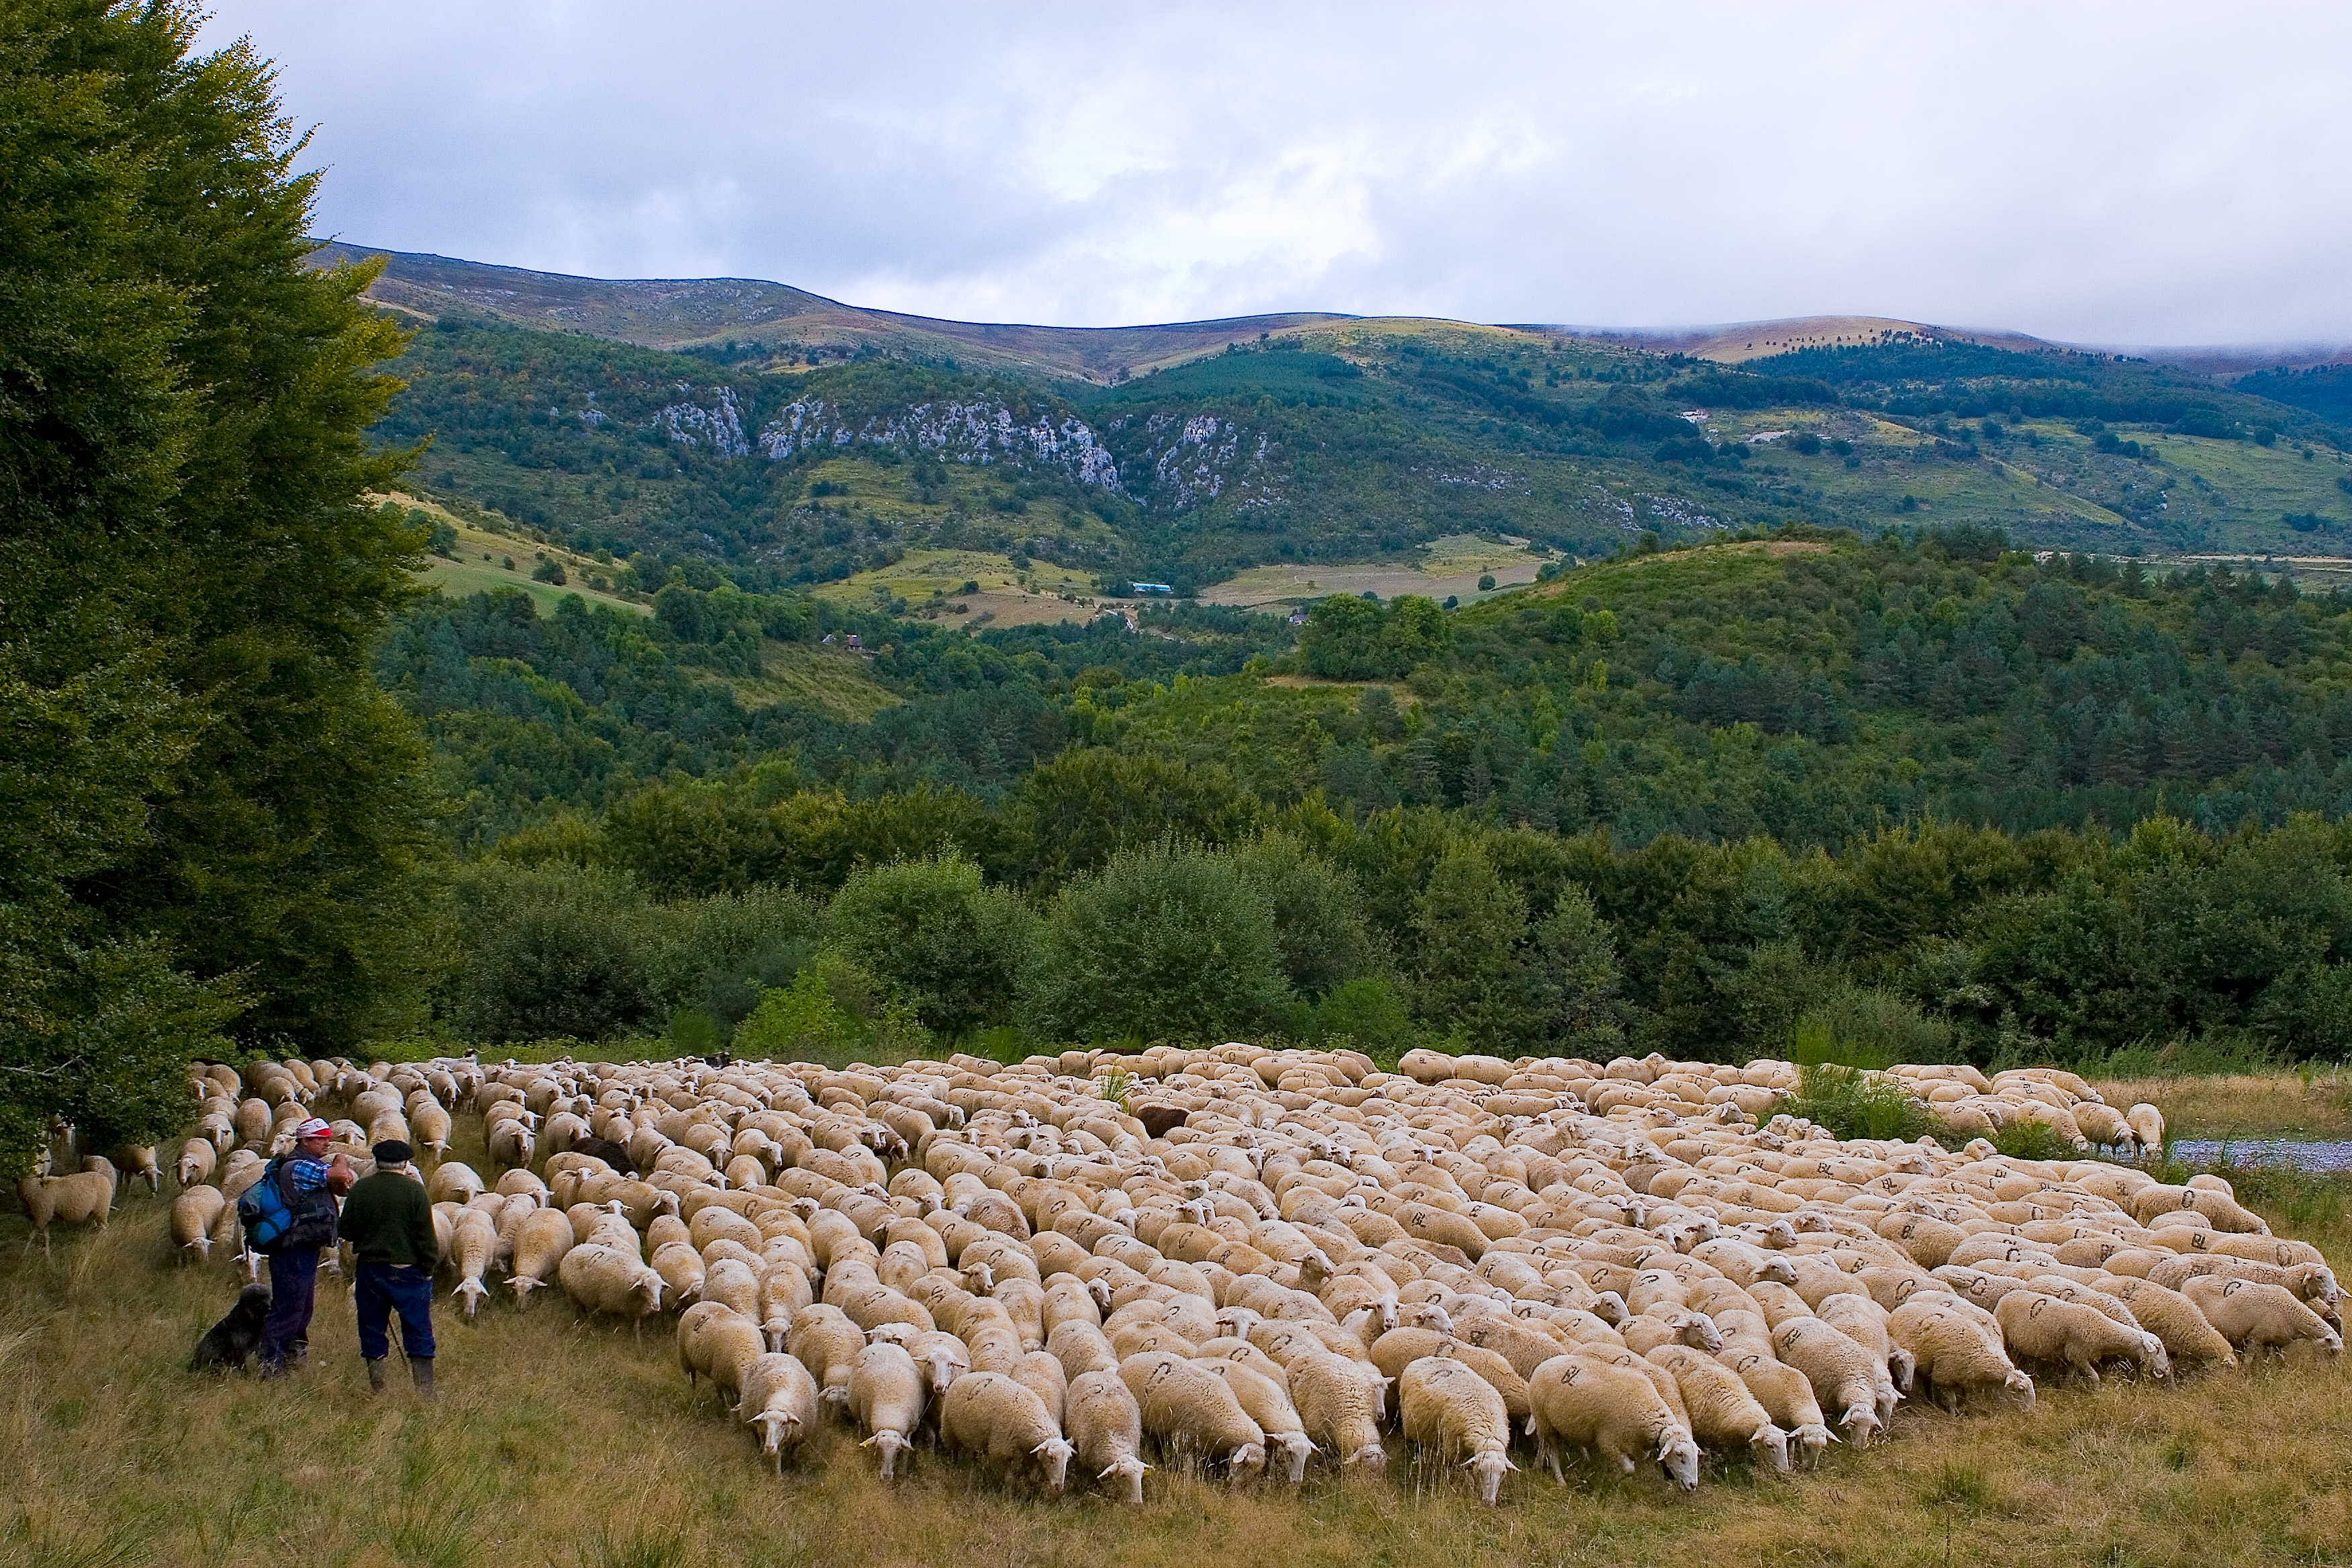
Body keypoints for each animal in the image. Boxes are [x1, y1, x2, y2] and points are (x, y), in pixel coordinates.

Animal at [940, 1373, 1077, 1495]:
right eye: (1050, 1457)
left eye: (1068, 1459)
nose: (1059, 1487)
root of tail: (966, 1376)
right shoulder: (1001, 1453)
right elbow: (1008, 1479)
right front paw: (1006, 1494)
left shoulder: (1031, 1456)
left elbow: (1031, 1478)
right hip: (948, 1429)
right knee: (953, 1451)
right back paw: (954, 1467)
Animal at [1402, 1354, 1514, 1504]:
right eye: (1480, 1471)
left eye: (1503, 1473)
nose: (1489, 1503)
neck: (1488, 1433)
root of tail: (1426, 1358)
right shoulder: (1453, 1451)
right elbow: (1468, 1476)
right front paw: (1470, 1489)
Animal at [1514, 1354, 1702, 1495]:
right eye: (1679, 1454)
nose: (1693, 1485)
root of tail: (1546, 1363)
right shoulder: (1609, 1442)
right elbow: (1629, 1469)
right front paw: (1609, 1482)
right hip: (1544, 1419)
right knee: (1552, 1450)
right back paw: (1561, 1481)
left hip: (1552, 1422)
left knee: (1544, 1443)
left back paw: (1538, 1465)